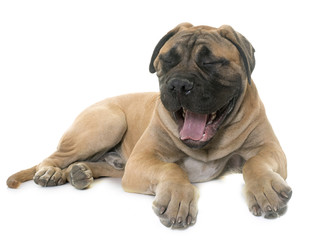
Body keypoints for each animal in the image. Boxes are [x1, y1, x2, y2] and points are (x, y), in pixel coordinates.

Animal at [6, 23, 292, 229]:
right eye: (167, 61)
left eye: (210, 62)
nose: (178, 84)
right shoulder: (142, 160)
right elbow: (171, 170)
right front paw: (177, 199)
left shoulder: (269, 149)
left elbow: (255, 163)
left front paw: (265, 189)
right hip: (108, 123)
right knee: (54, 156)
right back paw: (50, 173)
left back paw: (79, 172)